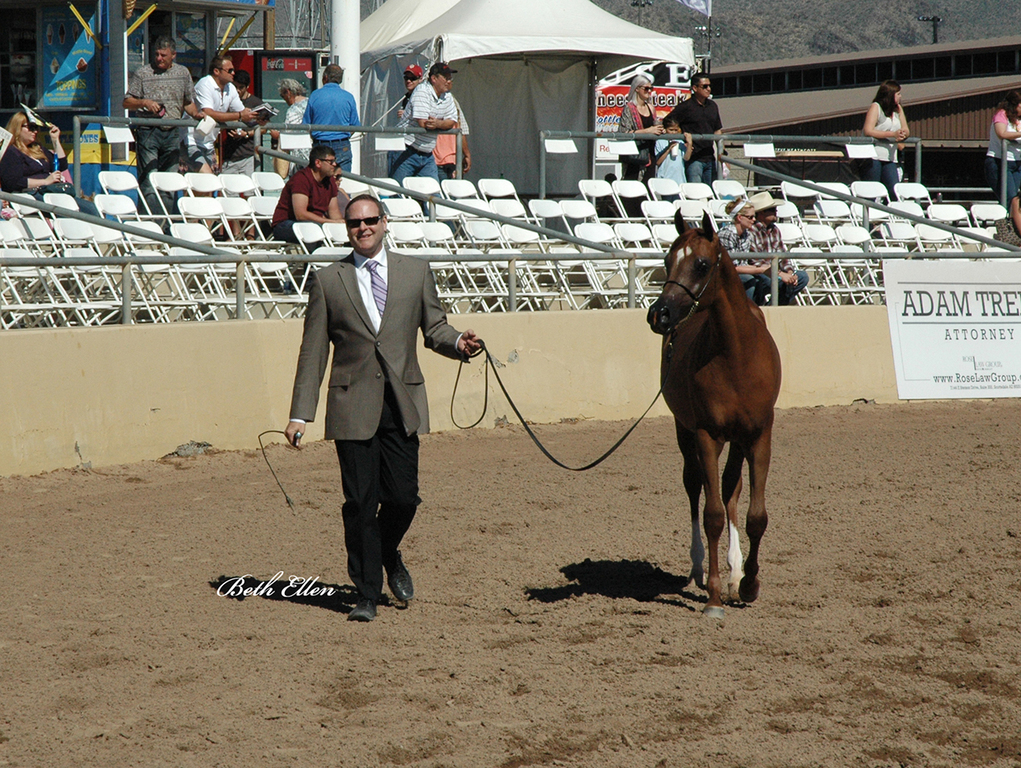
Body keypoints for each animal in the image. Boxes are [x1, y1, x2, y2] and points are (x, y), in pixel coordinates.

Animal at [646, 211, 782, 619]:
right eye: (666, 261)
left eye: (702, 264)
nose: (659, 314)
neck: (736, 354)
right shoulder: (706, 435)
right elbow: (712, 515)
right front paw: (715, 597)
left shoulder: (759, 434)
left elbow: (755, 515)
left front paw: (748, 583)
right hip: (685, 430)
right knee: (696, 487)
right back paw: (699, 568)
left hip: (737, 440)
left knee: (729, 488)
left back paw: (736, 571)